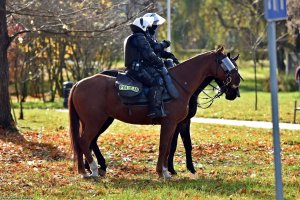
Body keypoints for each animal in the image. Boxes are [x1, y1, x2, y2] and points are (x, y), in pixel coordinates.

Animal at [68, 47, 241, 178]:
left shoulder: (177, 124)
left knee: (85, 142)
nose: (237, 84)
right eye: (224, 63)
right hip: (96, 121)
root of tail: (78, 84)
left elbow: (171, 146)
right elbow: (165, 146)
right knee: (84, 141)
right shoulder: (170, 123)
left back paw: (84, 170)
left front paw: (168, 170)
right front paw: (164, 171)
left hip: (94, 121)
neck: (179, 83)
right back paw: (94, 168)